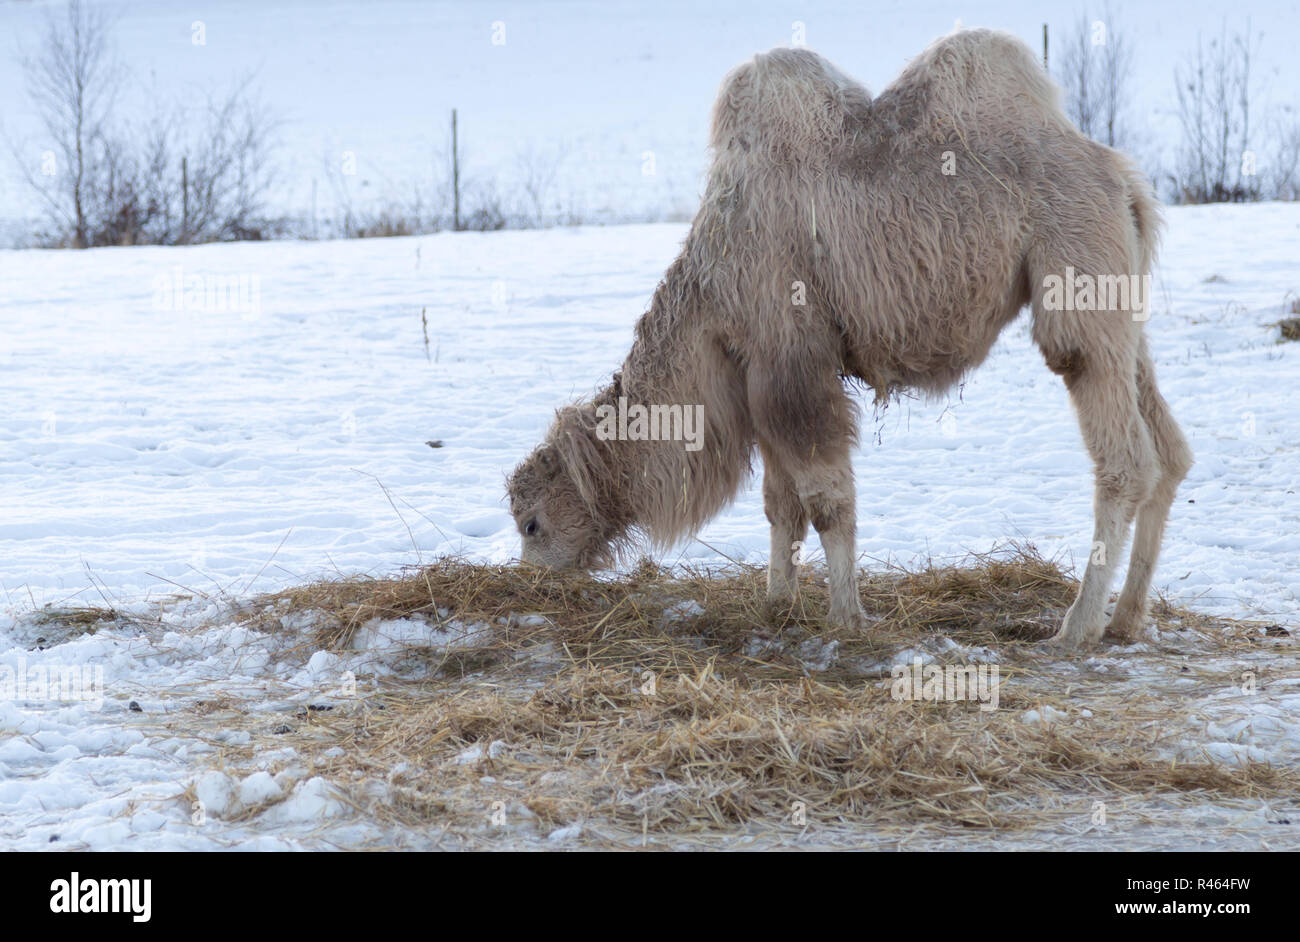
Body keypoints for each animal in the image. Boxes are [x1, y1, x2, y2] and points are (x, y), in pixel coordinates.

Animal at [504, 29, 1190, 647]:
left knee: (1122, 450)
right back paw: (1127, 619)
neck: (712, 300)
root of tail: (1123, 181)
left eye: (531, 524)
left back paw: (1075, 627)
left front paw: (847, 617)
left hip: (1074, 269)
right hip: (1121, 301)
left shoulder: (793, 358)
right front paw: (777, 605)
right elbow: (780, 503)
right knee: (1169, 449)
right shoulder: (760, 367)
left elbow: (826, 500)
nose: (530, 581)